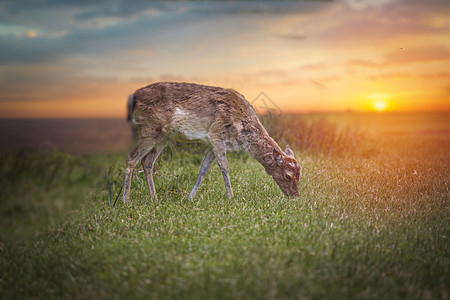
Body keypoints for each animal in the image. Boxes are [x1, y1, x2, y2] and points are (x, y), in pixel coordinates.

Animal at [122, 82, 302, 203]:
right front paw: (231, 198)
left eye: (300, 175)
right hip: (150, 128)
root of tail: (132, 97)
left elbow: (203, 169)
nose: (295, 195)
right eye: (287, 175)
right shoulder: (216, 135)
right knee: (131, 157)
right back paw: (125, 200)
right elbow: (224, 167)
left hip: (163, 138)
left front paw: (190, 198)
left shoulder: (210, 142)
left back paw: (154, 199)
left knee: (147, 162)